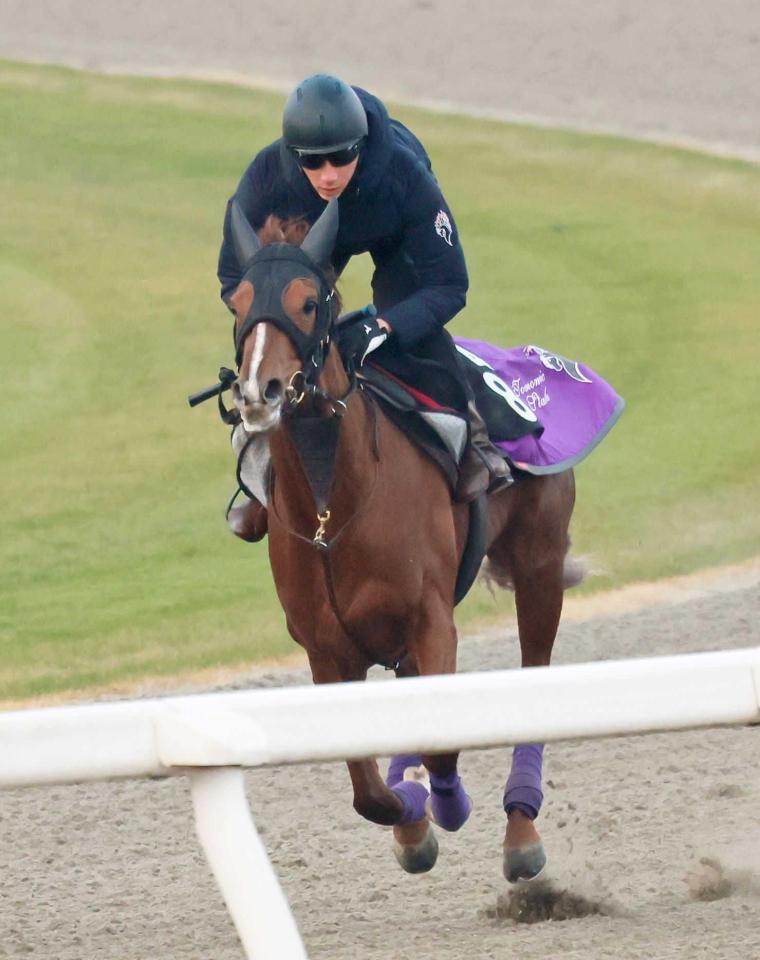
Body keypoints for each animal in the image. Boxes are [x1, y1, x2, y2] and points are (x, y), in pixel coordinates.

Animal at [223, 199, 580, 880]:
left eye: (309, 301)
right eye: (238, 302)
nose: (260, 392)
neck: (332, 512)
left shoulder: (432, 619)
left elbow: (440, 750)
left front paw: (442, 805)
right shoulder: (325, 650)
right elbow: (368, 792)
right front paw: (410, 819)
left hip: (540, 562)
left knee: (535, 673)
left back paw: (520, 829)